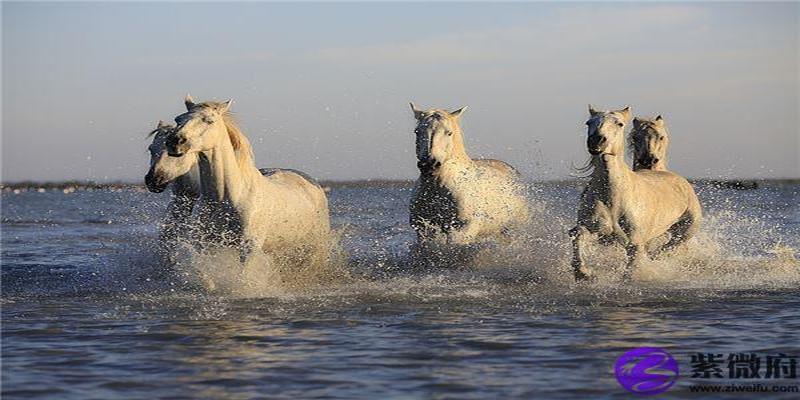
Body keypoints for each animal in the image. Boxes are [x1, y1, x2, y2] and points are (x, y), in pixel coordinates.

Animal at [153, 96, 332, 266]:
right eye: (178, 119)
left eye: (209, 120)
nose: (175, 141)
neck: (229, 196)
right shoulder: (207, 245)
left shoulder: (249, 248)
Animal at [406, 103, 532, 247]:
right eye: (417, 131)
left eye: (449, 133)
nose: (429, 164)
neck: (438, 188)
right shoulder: (425, 229)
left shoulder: (461, 230)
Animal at [568, 105, 700, 282]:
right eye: (588, 123)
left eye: (619, 123)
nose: (596, 141)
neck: (613, 197)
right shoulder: (594, 229)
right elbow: (578, 235)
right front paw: (584, 273)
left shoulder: (635, 243)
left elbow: (632, 268)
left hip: (685, 231)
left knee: (668, 247)